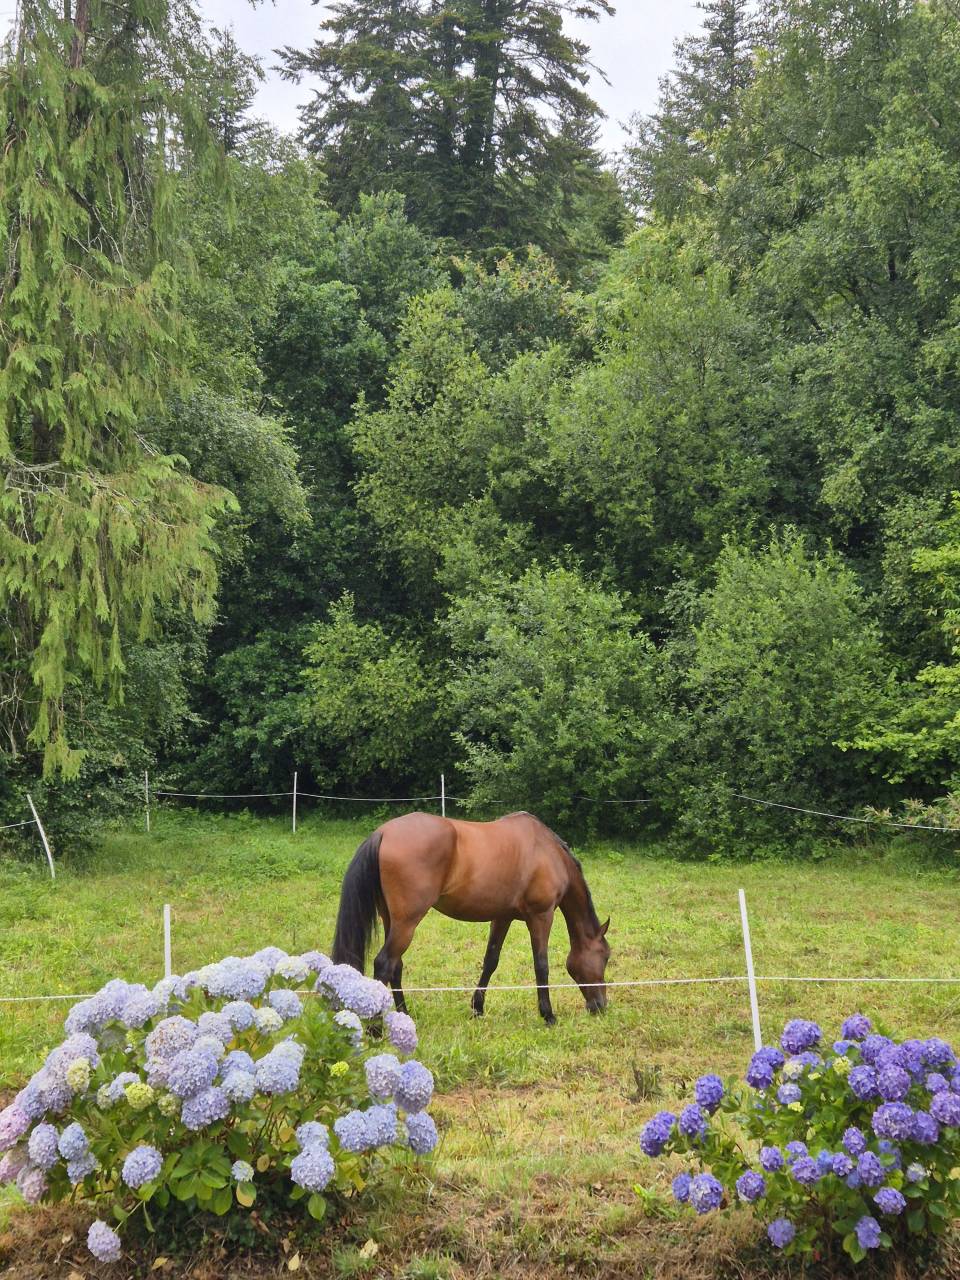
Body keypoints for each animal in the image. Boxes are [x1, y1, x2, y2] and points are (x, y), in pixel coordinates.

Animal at [331, 810, 610, 1024]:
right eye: (605, 957)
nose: (600, 1005)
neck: (546, 851)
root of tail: (384, 832)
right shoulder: (541, 917)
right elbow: (541, 966)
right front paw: (548, 1015)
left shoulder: (502, 918)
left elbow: (490, 961)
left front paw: (477, 1008)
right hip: (407, 923)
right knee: (384, 964)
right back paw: (376, 1028)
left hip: (392, 920)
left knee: (395, 966)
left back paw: (404, 1015)